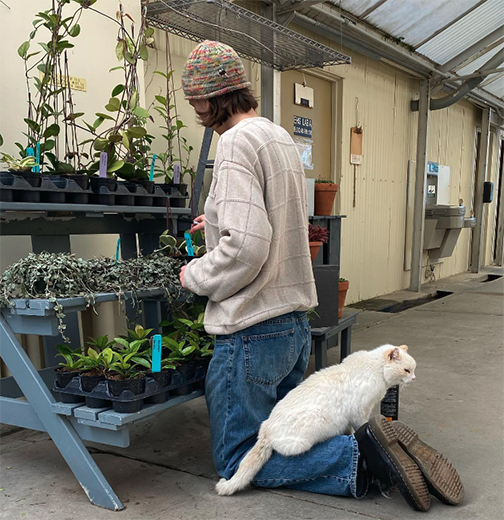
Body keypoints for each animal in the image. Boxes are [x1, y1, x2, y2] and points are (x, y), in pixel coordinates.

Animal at [215, 344, 416, 498]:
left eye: (413, 370)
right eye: (406, 370)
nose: (414, 378)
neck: (377, 370)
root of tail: (266, 428)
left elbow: (350, 428)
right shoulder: (359, 412)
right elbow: (360, 426)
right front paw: (363, 433)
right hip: (310, 429)